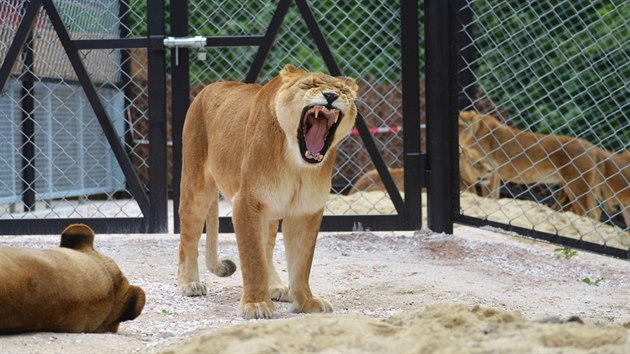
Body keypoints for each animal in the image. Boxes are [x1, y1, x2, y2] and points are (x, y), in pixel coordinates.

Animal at [180, 65, 358, 320]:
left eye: (343, 90)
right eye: (309, 85)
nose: (331, 96)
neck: (297, 163)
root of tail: (208, 86)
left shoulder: (306, 210)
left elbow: (301, 262)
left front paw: (306, 301)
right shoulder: (246, 202)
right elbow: (253, 258)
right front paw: (255, 304)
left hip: (270, 212)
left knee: (268, 248)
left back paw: (275, 286)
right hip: (196, 186)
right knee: (188, 238)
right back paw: (189, 283)